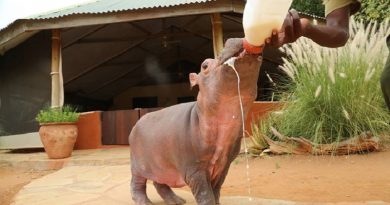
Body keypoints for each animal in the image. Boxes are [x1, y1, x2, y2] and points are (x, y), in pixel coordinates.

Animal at [130, 38, 262, 203]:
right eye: (204, 65)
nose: (231, 39)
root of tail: (135, 125)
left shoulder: (225, 164)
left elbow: (216, 190)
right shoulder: (194, 169)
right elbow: (205, 194)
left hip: (161, 166)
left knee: (159, 183)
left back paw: (178, 201)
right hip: (138, 166)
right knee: (136, 185)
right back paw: (145, 202)